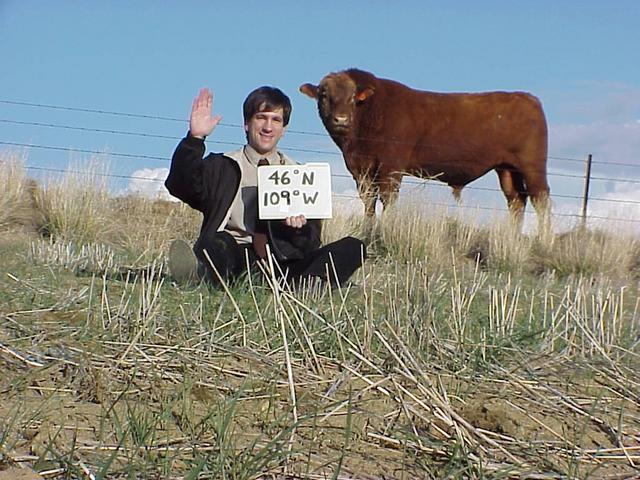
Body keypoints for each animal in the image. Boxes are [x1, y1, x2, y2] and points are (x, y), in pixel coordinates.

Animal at [300, 68, 552, 228]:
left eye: (353, 97)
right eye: (324, 95)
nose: (341, 119)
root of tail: (528, 98)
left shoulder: (390, 166)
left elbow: (388, 197)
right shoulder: (360, 170)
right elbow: (368, 200)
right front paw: (368, 228)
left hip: (532, 166)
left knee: (540, 199)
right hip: (507, 169)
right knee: (516, 201)